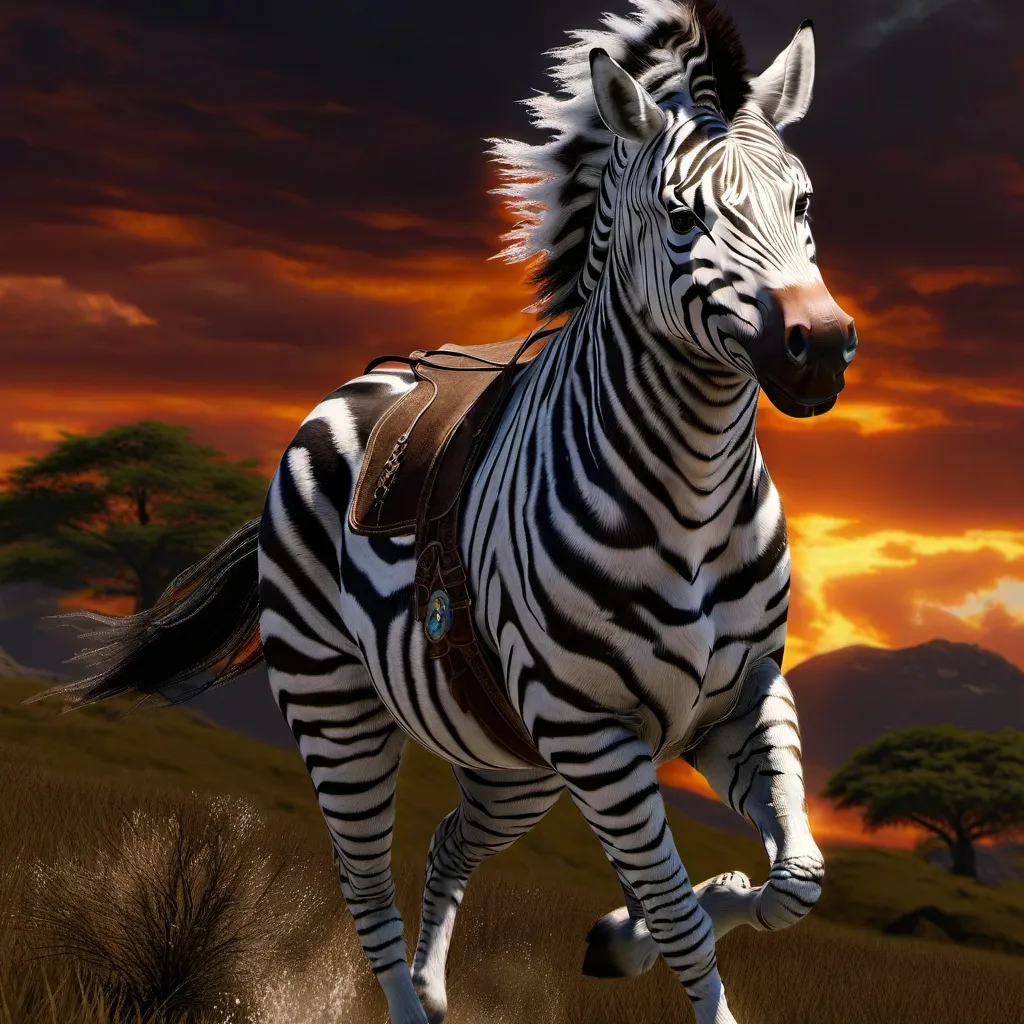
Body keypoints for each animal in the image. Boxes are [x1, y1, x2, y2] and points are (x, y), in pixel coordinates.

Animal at [49, 2, 858, 1022]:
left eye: (804, 204)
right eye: (683, 218)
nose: (820, 347)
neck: (697, 498)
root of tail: (362, 382)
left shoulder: (739, 698)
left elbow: (797, 882)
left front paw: (630, 933)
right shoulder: (594, 734)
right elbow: (680, 913)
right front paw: (653, 936)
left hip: (512, 757)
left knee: (446, 840)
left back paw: (442, 990)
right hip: (343, 712)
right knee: (363, 884)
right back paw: (407, 998)